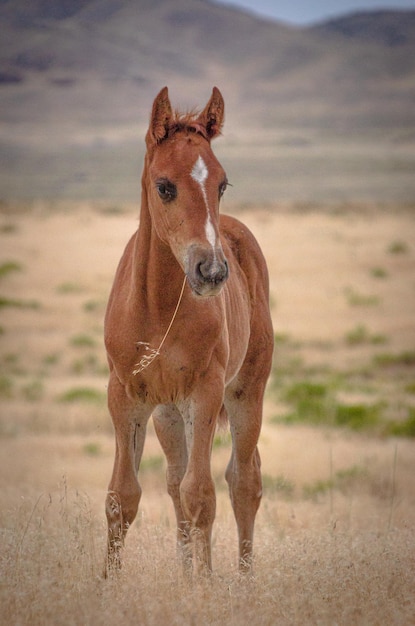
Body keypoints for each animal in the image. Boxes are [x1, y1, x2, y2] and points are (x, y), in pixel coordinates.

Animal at [104, 88, 272, 576]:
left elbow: (202, 495)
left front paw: (204, 586)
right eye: (165, 186)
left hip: (245, 392)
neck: (157, 307)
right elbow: (123, 496)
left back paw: (242, 579)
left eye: (222, 184)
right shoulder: (125, 396)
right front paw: (107, 583)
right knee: (177, 480)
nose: (212, 271)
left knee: (242, 480)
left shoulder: (205, 391)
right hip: (168, 414)